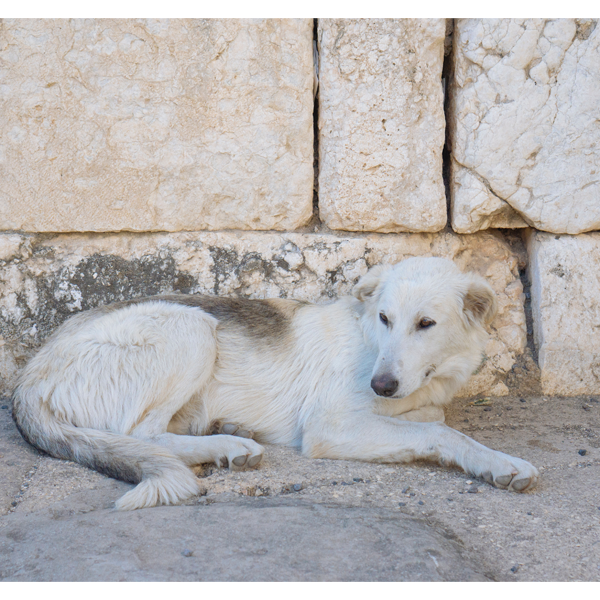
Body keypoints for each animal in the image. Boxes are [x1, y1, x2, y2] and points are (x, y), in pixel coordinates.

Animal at [12, 258, 540, 510]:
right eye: (386, 318)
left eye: (426, 323)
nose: (381, 385)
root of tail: (30, 373)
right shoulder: (329, 427)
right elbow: (440, 430)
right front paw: (501, 463)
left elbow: (431, 415)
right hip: (192, 327)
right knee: (140, 435)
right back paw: (229, 444)